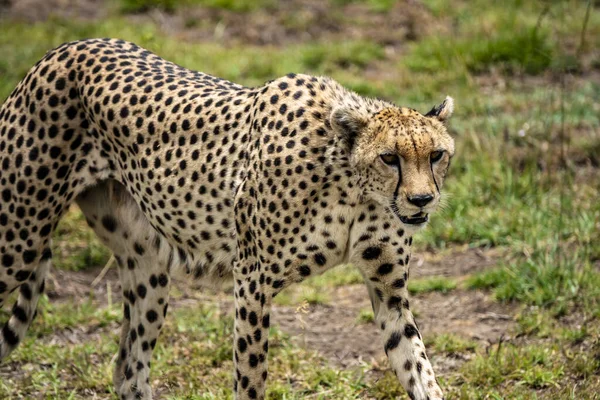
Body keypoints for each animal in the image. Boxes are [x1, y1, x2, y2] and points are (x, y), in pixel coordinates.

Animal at [0, 38, 454, 400]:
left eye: (436, 155)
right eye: (389, 158)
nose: (421, 200)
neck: (353, 187)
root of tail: (67, 47)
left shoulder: (390, 291)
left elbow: (419, 368)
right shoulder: (252, 280)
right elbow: (250, 378)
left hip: (147, 270)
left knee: (129, 370)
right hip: (19, 241)